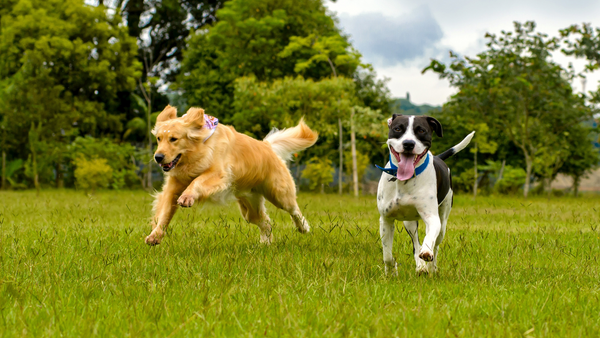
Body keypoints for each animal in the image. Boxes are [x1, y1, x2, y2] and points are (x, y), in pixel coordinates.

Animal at [145, 105, 318, 246]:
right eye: (159, 139)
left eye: (174, 139)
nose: (158, 157)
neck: (197, 150)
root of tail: (267, 146)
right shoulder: (173, 187)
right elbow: (164, 213)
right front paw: (155, 236)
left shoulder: (219, 173)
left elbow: (198, 181)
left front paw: (187, 196)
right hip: (249, 207)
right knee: (265, 222)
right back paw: (265, 243)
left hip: (279, 193)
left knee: (294, 209)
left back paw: (303, 227)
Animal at [380, 114, 474, 274]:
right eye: (397, 129)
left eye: (421, 130)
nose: (408, 143)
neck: (404, 180)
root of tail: (438, 157)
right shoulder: (386, 219)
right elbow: (387, 255)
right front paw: (391, 271)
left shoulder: (432, 218)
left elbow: (429, 239)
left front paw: (426, 253)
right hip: (409, 223)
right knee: (415, 243)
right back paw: (421, 267)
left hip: (443, 222)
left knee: (435, 245)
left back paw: (431, 267)